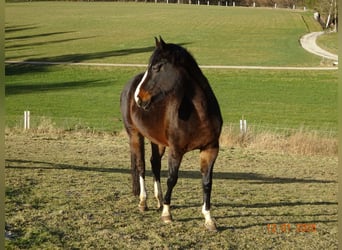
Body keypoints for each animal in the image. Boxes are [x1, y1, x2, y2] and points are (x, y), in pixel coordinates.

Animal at [119, 36, 222, 230]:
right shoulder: (176, 151)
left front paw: (209, 218)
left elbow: (207, 183)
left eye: (156, 67)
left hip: (157, 140)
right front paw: (167, 214)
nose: (139, 98)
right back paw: (144, 202)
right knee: (141, 165)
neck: (199, 114)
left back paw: (158, 200)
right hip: (135, 134)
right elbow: (172, 178)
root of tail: (129, 85)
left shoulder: (210, 149)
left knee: (154, 164)